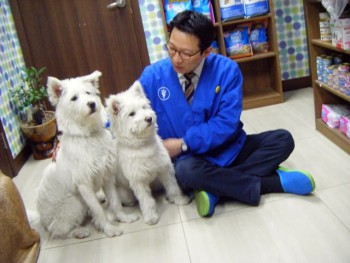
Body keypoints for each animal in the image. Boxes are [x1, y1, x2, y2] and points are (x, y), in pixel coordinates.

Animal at [36, 70, 138, 239]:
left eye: (88, 93)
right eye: (74, 98)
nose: (92, 103)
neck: (88, 135)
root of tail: (41, 220)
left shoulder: (106, 175)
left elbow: (115, 201)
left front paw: (123, 217)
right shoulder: (84, 185)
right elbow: (97, 211)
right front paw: (109, 229)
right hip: (74, 203)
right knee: (59, 230)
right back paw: (79, 232)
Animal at [105, 81, 190, 226]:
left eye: (144, 107)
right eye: (131, 114)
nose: (149, 118)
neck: (143, 145)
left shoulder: (164, 170)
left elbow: (173, 187)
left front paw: (179, 200)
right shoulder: (139, 181)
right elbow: (146, 201)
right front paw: (151, 217)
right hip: (125, 193)